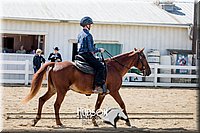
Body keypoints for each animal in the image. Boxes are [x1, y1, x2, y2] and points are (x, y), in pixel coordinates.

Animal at [21, 48, 150, 128]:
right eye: (143, 57)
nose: (148, 71)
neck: (115, 68)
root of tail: (55, 64)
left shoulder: (102, 93)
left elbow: (97, 107)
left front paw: (94, 122)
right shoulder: (114, 91)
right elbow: (122, 104)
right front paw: (128, 122)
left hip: (53, 90)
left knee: (41, 99)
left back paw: (35, 120)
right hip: (61, 91)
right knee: (56, 105)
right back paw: (59, 122)